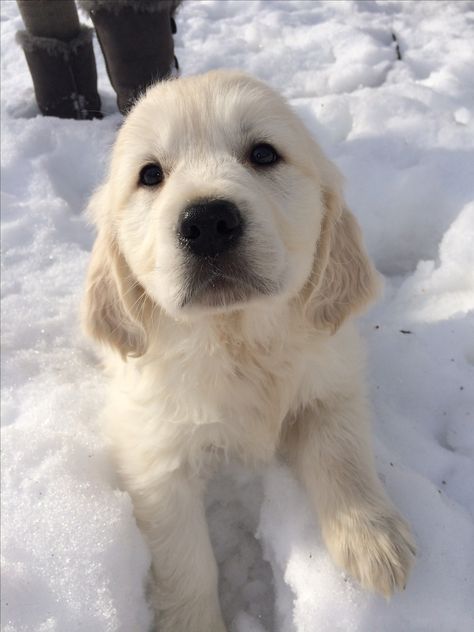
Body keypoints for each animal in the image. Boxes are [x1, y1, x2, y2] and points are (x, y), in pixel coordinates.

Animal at [84, 70, 414, 632]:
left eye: (263, 154)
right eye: (150, 175)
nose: (207, 222)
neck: (236, 339)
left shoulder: (331, 378)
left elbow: (341, 452)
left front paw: (374, 541)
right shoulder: (154, 455)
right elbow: (188, 560)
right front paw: (193, 622)